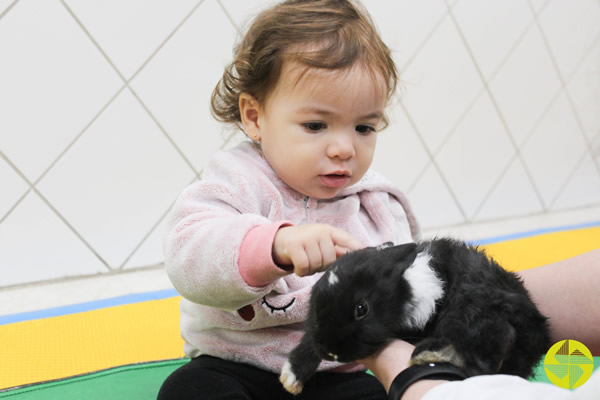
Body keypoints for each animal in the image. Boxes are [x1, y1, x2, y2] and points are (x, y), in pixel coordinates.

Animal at [278, 238, 552, 394]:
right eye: (317, 306)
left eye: (361, 309)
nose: (331, 352)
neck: (405, 286)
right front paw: (291, 377)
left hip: (474, 302)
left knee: (495, 336)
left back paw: (431, 352)